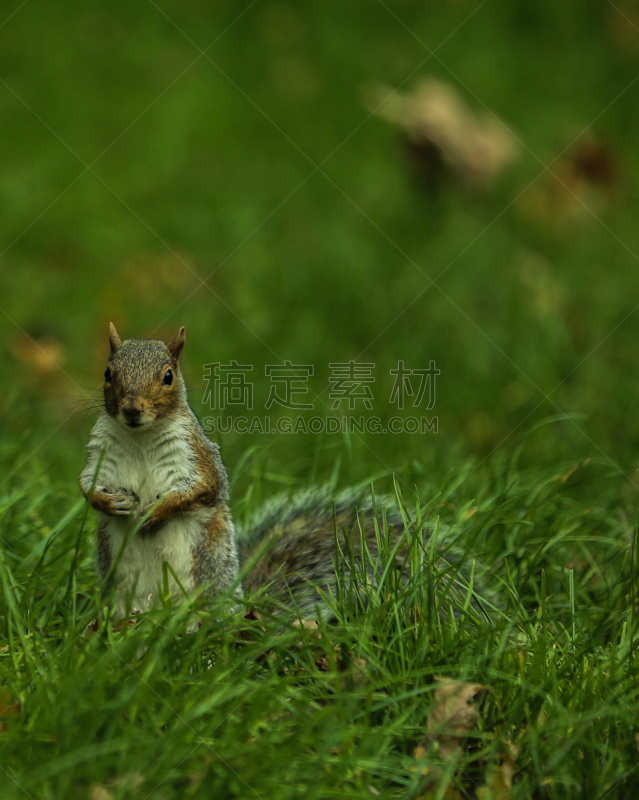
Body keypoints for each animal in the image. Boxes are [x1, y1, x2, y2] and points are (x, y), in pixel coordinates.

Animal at [80, 324, 480, 620]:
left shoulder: (196, 456)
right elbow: (87, 486)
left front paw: (157, 511)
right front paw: (108, 503)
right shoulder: (101, 455)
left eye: (168, 377)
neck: (140, 437)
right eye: (108, 372)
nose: (132, 409)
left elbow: (204, 489)